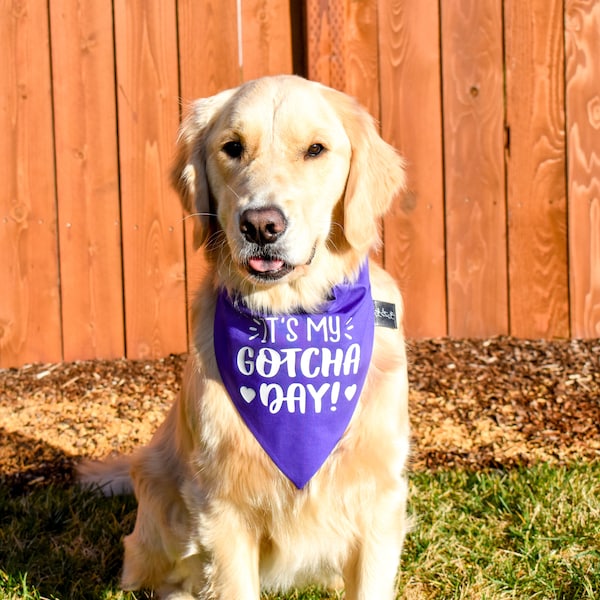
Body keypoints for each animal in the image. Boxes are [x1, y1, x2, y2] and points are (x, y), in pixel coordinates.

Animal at [79, 75, 410, 600]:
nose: (261, 225)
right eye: (232, 147)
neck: (292, 317)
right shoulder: (221, 507)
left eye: (316, 149)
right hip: (160, 509)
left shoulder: (379, 499)